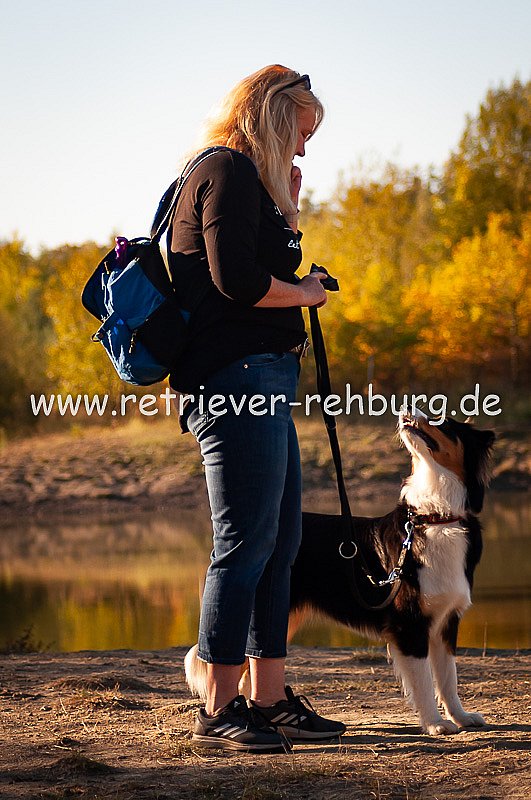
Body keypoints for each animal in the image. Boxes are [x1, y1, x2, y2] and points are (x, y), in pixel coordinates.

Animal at [185, 407, 495, 735]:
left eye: (443, 421)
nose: (405, 408)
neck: (434, 516)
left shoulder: (446, 621)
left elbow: (449, 678)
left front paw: (461, 717)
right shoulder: (409, 624)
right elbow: (423, 681)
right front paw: (435, 723)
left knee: (250, 669)